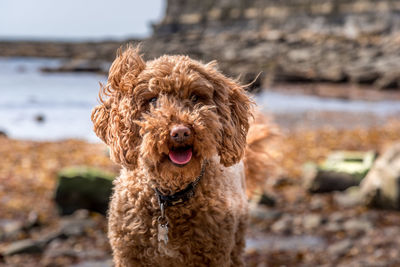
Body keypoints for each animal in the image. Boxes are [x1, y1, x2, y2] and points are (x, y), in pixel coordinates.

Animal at [90, 46, 272, 267]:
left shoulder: (214, 255)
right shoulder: (129, 256)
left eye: (195, 97)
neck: (169, 197)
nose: (180, 132)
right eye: (153, 100)